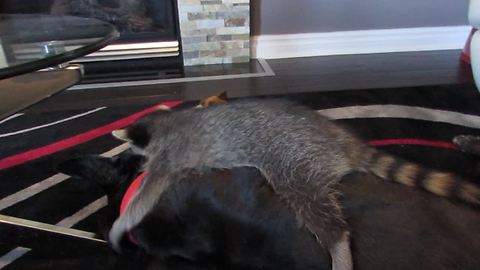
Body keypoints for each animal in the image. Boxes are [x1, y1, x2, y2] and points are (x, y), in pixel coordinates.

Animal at [109, 99, 480, 270]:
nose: (131, 158)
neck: (169, 121)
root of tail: (341, 139)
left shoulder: (171, 158)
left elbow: (147, 194)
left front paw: (121, 223)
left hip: (296, 163)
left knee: (321, 215)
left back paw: (338, 247)